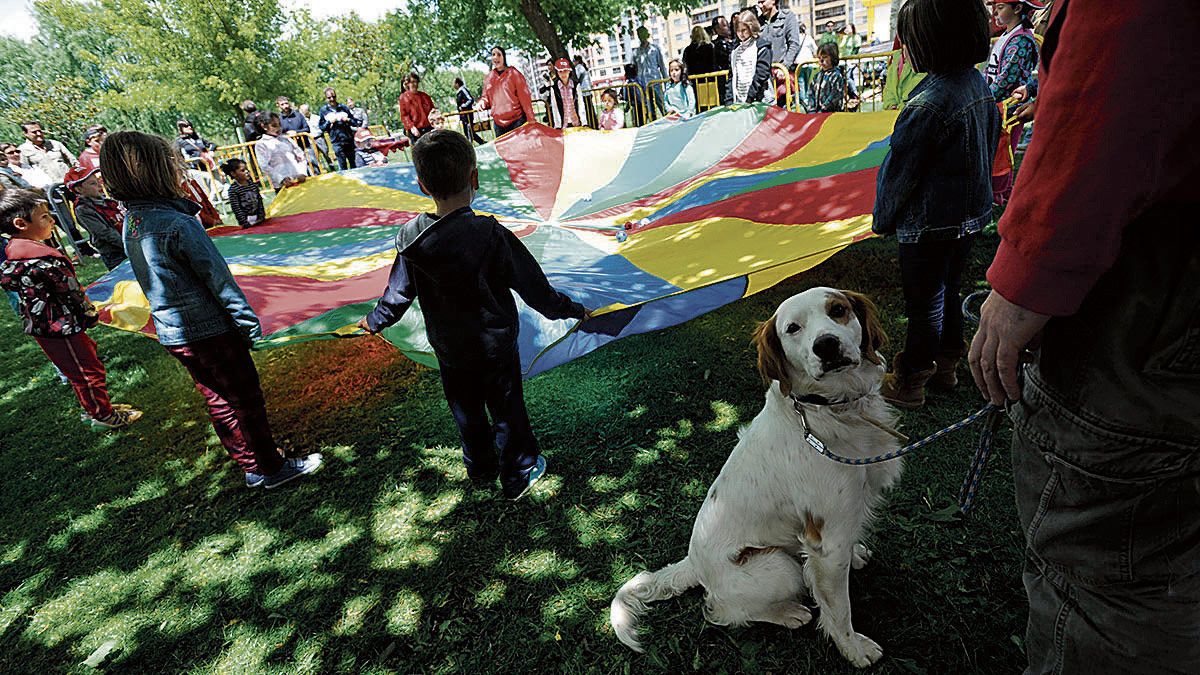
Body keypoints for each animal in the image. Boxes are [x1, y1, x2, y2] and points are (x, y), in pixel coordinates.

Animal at [614, 282, 902, 662]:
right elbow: (839, 608)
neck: (833, 412)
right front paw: (853, 648)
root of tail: (693, 564)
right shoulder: (828, 539)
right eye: (793, 329)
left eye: (838, 310)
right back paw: (788, 613)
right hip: (780, 567)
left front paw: (856, 556)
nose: (826, 345)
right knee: (722, 611)